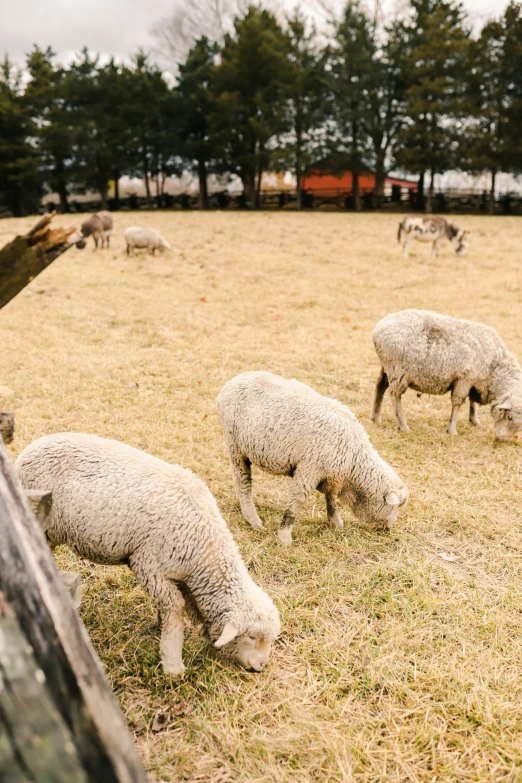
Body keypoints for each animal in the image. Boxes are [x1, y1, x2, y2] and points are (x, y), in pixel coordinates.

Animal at [14, 432, 280, 676]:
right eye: (252, 637)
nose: (261, 667)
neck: (203, 548)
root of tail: (29, 449)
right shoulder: (149, 565)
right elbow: (175, 608)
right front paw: (172, 664)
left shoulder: (178, 575)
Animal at [215, 372, 406, 544]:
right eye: (396, 506)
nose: (389, 529)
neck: (353, 462)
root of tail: (232, 381)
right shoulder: (309, 469)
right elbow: (296, 504)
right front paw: (284, 538)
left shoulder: (331, 474)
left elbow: (331, 498)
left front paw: (336, 522)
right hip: (235, 445)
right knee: (243, 482)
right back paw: (253, 519)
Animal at [370, 308, 520, 440]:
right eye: (509, 417)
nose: (503, 439)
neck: (495, 369)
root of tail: (378, 327)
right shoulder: (464, 379)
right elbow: (458, 402)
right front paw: (452, 430)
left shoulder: (474, 381)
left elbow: (472, 402)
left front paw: (474, 421)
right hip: (397, 370)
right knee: (395, 395)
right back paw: (403, 426)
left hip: (388, 367)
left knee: (380, 385)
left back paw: (375, 418)